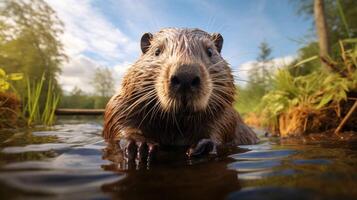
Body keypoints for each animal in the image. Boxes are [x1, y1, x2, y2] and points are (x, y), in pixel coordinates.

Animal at [101, 27, 258, 160]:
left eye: (210, 51)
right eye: (157, 51)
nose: (185, 77)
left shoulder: (226, 109)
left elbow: (225, 120)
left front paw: (203, 146)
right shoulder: (127, 99)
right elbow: (116, 113)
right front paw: (139, 145)